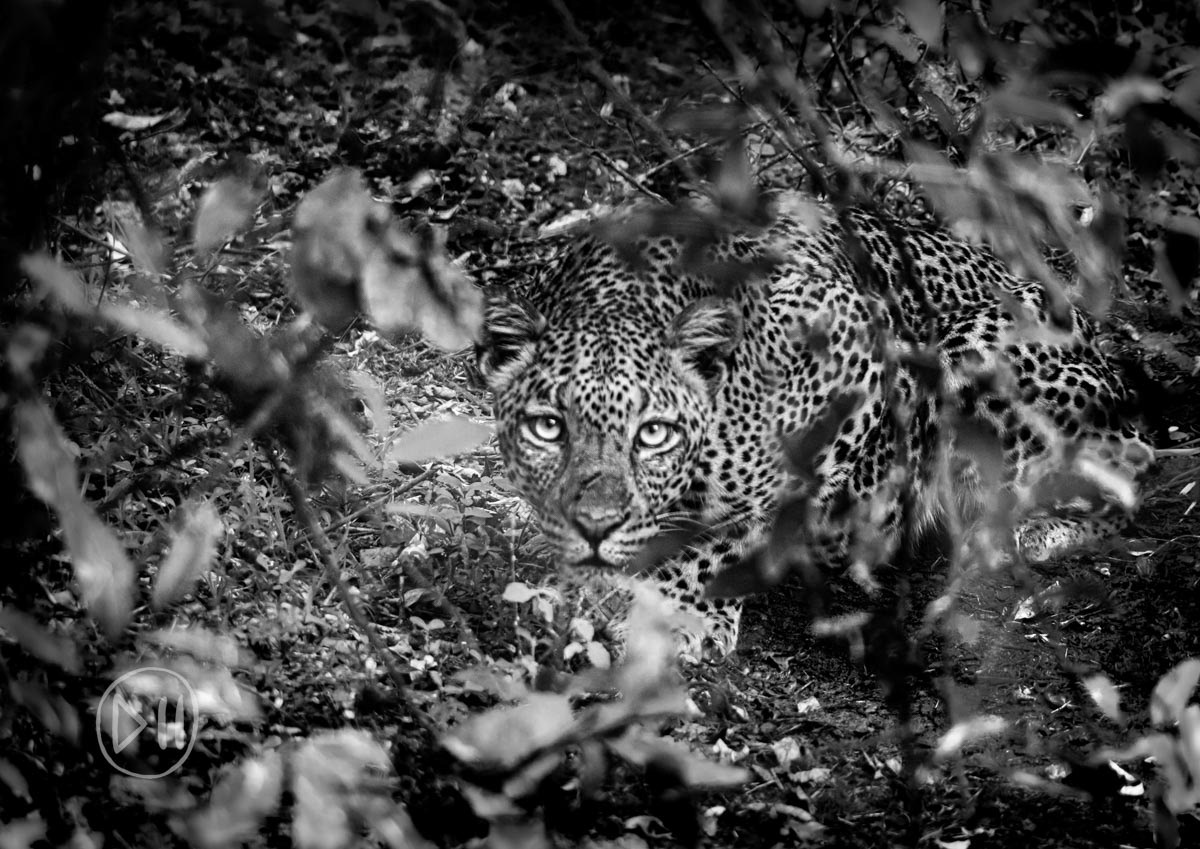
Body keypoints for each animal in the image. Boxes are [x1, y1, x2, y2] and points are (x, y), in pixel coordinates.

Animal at [477, 193, 1154, 656]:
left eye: (654, 434)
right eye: (547, 428)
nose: (595, 525)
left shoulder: (857, 353)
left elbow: (739, 529)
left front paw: (679, 606)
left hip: (976, 350)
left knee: (1128, 476)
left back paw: (1027, 531)